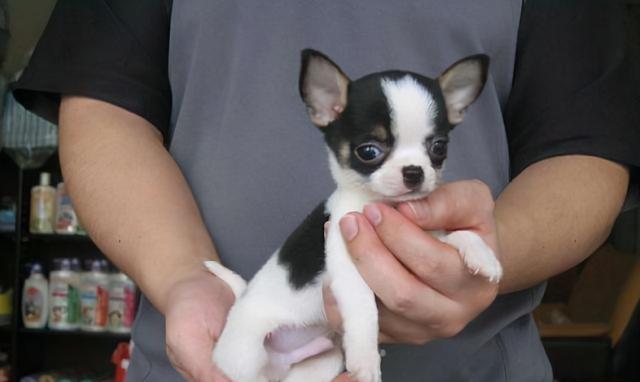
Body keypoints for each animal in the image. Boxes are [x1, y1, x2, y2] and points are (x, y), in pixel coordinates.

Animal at [208, 50, 502, 382]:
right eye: (369, 151)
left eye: (439, 147)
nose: (414, 172)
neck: (384, 205)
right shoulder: (348, 266)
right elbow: (364, 309)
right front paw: (365, 357)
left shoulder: (424, 232)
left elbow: (454, 234)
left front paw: (482, 254)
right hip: (246, 354)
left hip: (321, 361)